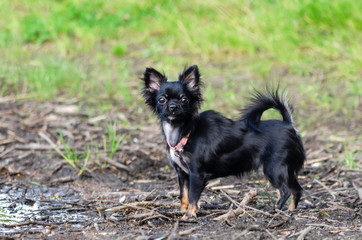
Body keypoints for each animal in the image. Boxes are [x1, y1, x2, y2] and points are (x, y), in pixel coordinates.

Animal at [141, 65, 306, 219]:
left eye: (184, 99)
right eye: (162, 100)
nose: (173, 107)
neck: (186, 132)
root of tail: (288, 125)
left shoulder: (197, 174)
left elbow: (193, 197)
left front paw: (189, 215)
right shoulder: (182, 174)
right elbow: (184, 196)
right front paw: (182, 211)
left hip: (274, 168)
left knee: (284, 191)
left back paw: (275, 210)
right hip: (287, 170)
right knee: (296, 190)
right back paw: (290, 211)